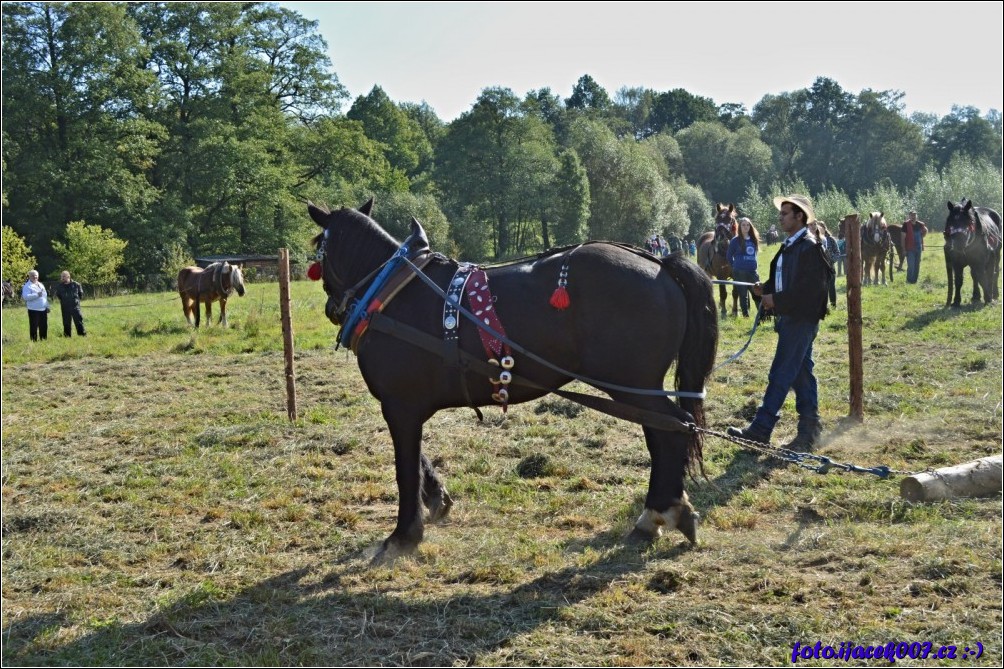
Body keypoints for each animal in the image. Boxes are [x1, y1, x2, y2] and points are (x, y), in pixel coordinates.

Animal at [309, 198, 718, 562]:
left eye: (318, 250)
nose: (331, 308)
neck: (392, 291)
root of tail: (659, 262)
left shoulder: (400, 404)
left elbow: (405, 469)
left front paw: (403, 535)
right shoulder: (405, 406)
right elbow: (418, 460)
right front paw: (437, 498)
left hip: (631, 383)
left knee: (672, 431)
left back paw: (659, 512)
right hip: (638, 385)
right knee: (667, 432)